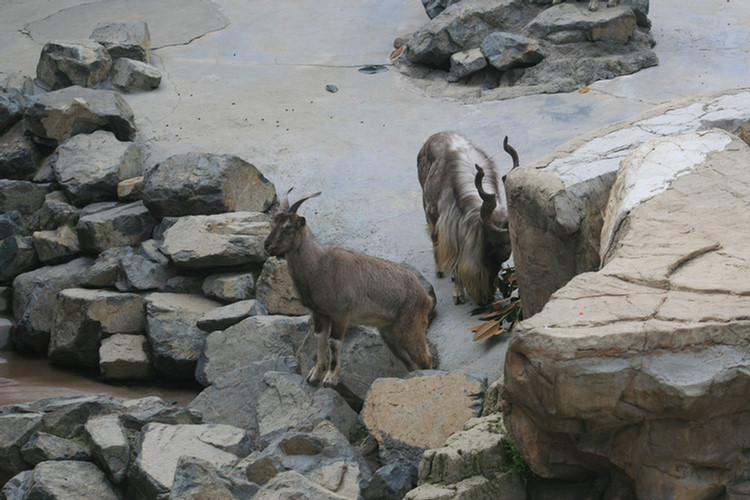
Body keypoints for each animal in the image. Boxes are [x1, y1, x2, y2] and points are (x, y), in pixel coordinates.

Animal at [264, 189, 432, 388]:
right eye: (273, 222)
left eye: (288, 227)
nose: (267, 245)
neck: (318, 265)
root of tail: (425, 296)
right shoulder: (319, 314)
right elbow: (320, 339)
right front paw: (314, 375)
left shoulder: (340, 314)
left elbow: (334, 343)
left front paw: (330, 378)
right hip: (389, 332)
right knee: (411, 362)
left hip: (409, 327)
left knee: (426, 359)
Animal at [418, 131, 516, 304]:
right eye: (492, 248)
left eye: (503, 260)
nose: (487, 298)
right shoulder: (450, 227)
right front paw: (458, 294)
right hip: (429, 208)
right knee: (434, 238)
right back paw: (440, 270)